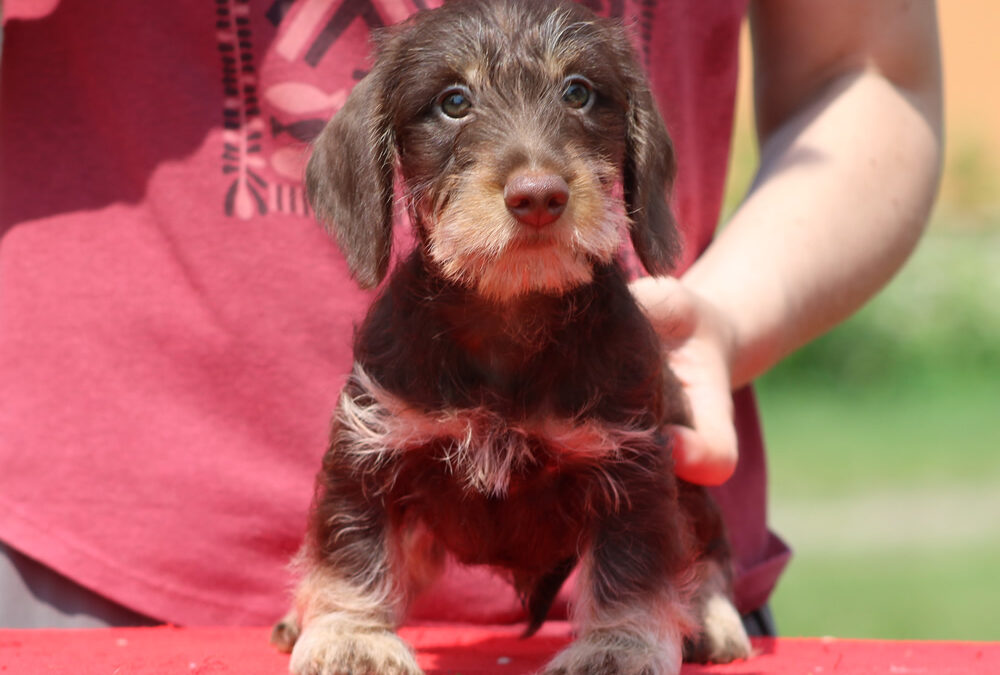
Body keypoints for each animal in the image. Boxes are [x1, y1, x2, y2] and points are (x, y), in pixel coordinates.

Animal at [272, 1, 752, 675]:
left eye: (578, 92)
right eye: (453, 101)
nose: (538, 196)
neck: (508, 316)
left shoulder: (631, 462)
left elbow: (633, 567)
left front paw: (620, 645)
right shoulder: (368, 450)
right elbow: (353, 548)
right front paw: (352, 635)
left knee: (702, 545)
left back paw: (708, 615)